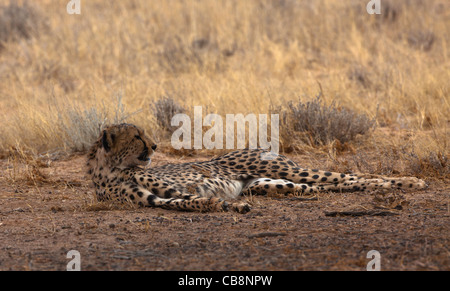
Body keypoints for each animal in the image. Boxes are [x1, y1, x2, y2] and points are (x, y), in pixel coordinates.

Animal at [86, 124, 428, 214]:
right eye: (136, 137)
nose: (156, 146)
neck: (111, 171)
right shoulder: (155, 199)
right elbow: (188, 202)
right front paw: (228, 206)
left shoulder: (174, 188)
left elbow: (191, 196)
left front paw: (226, 205)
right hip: (271, 183)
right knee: (333, 185)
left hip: (289, 172)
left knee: (350, 176)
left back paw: (410, 183)